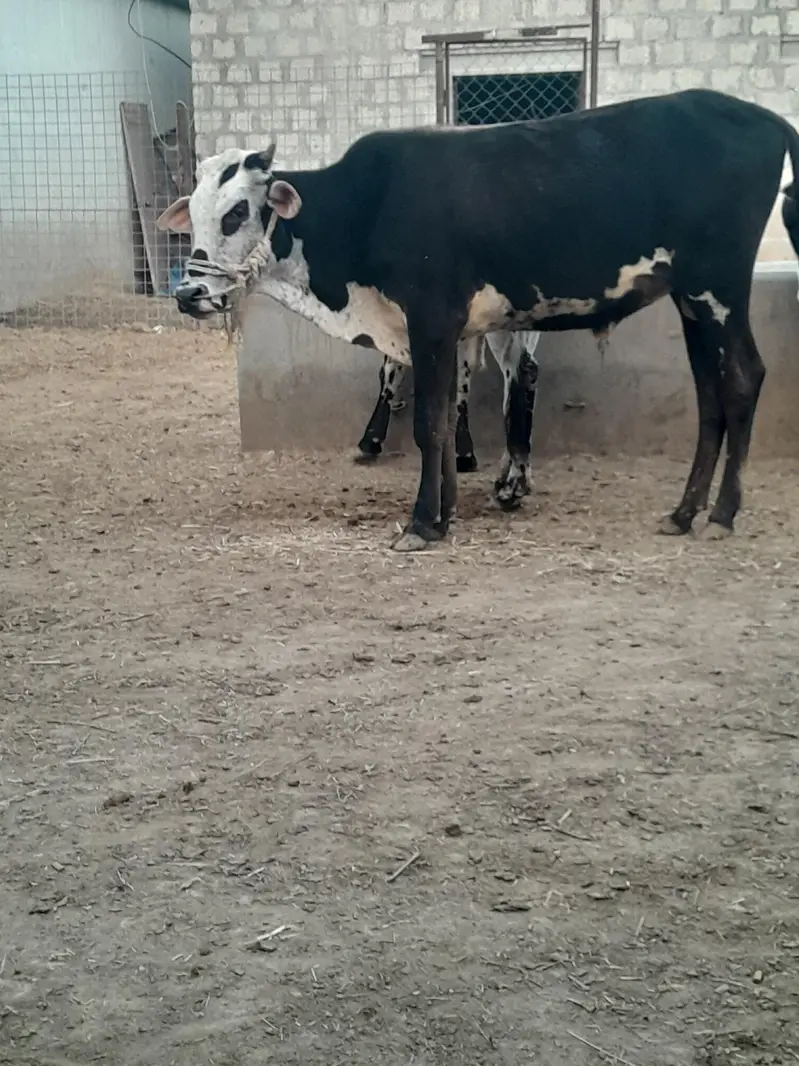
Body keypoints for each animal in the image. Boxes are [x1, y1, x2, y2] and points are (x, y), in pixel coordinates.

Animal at [158, 89, 799, 552]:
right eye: (194, 212)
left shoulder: (431, 323)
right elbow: (444, 423)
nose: (189, 291)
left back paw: (721, 514)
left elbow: (428, 426)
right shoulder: (444, 335)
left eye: (237, 211)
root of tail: (767, 120)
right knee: (711, 396)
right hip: (692, 301)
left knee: (743, 379)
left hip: (718, 290)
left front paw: (421, 524)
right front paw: (445, 513)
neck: (366, 207)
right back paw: (684, 512)